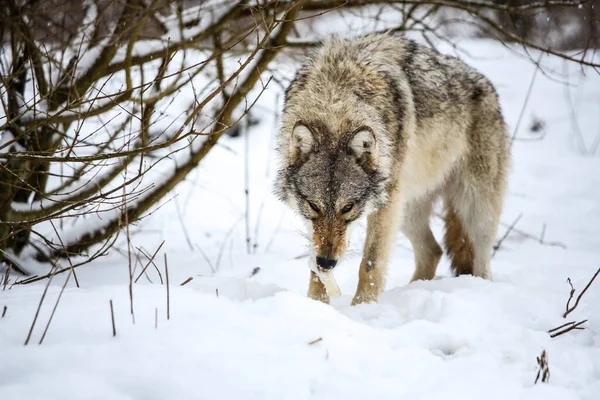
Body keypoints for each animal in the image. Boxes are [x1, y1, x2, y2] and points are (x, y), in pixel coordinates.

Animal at [274, 32, 508, 304]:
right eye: (314, 206)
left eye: (348, 207)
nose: (328, 262)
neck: (335, 99)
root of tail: (487, 85)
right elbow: (314, 266)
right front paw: (316, 304)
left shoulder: (384, 207)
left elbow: (370, 263)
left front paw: (363, 307)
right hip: (406, 211)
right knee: (433, 251)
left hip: (472, 208)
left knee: (481, 259)